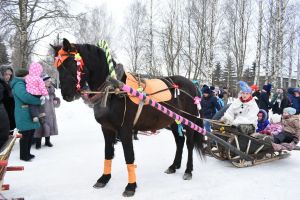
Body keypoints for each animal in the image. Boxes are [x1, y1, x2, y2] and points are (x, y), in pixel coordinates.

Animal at [51, 38, 206, 196]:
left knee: (189, 144)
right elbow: (108, 153)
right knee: (179, 142)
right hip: (174, 121)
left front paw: (131, 186)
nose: (67, 95)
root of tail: (193, 86)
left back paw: (188, 170)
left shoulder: (125, 129)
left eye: (70, 63)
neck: (114, 90)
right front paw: (104, 178)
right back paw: (174, 166)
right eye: (58, 67)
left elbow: (129, 155)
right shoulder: (107, 129)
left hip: (190, 121)